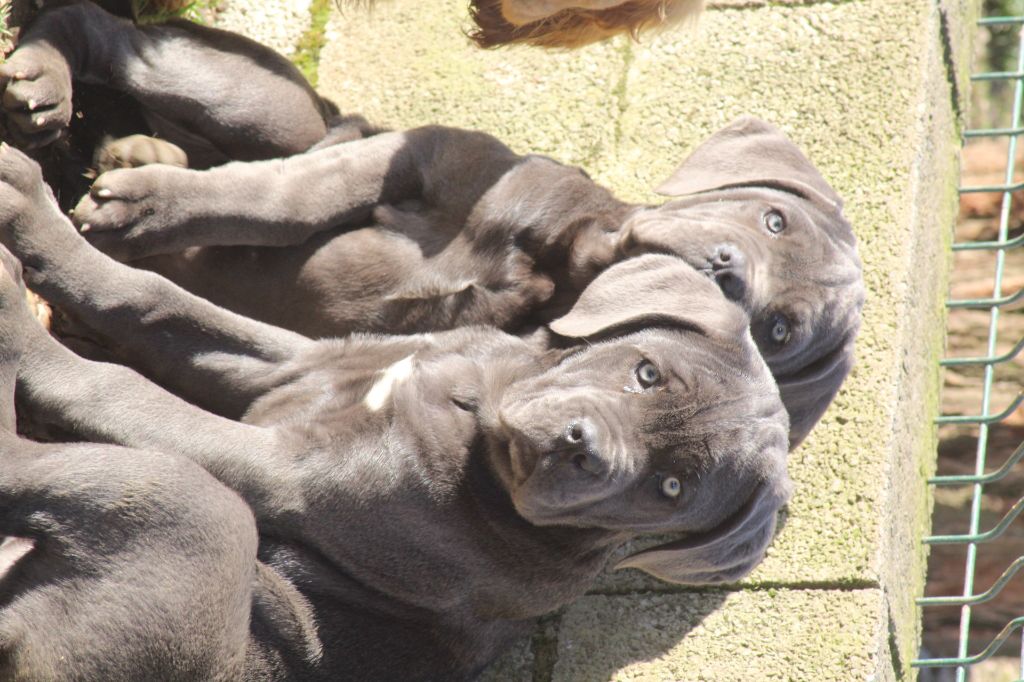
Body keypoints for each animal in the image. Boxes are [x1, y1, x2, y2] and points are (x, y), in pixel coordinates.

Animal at [0, 3, 864, 450]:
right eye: (773, 219)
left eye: (781, 330)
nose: (727, 272)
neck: (560, 261)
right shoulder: (407, 160)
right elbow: (284, 197)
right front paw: (152, 209)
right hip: (269, 106)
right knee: (104, 30)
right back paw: (46, 82)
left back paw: (131, 147)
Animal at [0, 140, 790, 675]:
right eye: (646, 372)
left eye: (670, 487)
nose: (580, 448)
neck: (473, 412)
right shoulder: (299, 363)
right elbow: (152, 298)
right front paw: (38, 221)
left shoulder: (285, 470)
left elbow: (121, 388)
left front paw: (30, 334)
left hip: (198, 525)